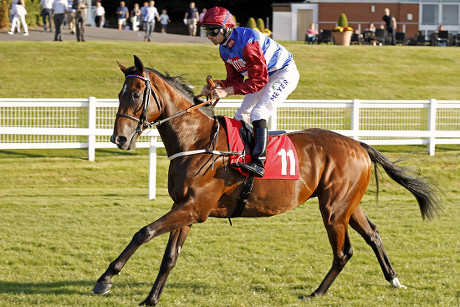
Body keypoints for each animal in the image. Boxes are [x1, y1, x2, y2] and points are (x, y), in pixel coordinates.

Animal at [91, 55, 440, 306]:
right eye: (119, 93)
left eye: (136, 93)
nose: (118, 138)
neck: (197, 141)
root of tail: (359, 145)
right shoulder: (186, 208)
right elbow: (169, 257)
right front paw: (150, 299)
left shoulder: (194, 208)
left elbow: (143, 232)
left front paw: (105, 279)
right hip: (347, 204)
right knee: (373, 235)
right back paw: (393, 279)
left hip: (334, 209)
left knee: (343, 252)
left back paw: (316, 293)